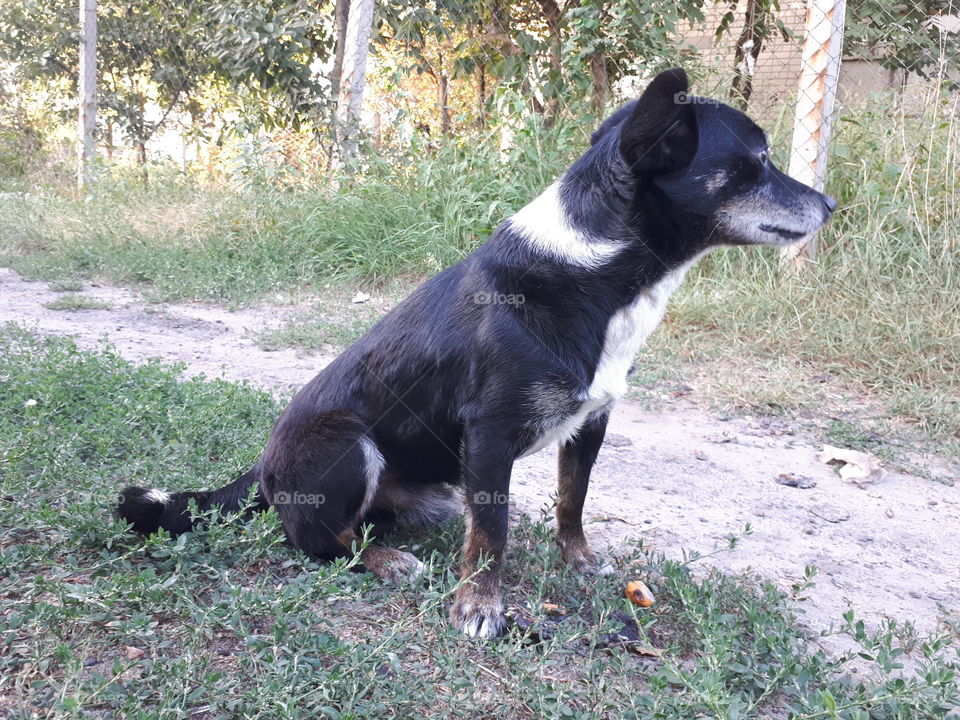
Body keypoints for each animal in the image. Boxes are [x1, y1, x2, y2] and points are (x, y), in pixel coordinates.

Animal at [118, 70, 832, 640]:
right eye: (759, 159)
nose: (829, 204)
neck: (597, 270)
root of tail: (262, 470)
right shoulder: (489, 435)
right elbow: (492, 533)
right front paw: (479, 607)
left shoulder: (592, 423)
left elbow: (572, 501)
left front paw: (577, 561)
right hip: (348, 446)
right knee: (320, 542)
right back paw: (383, 561)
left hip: (432, 488)